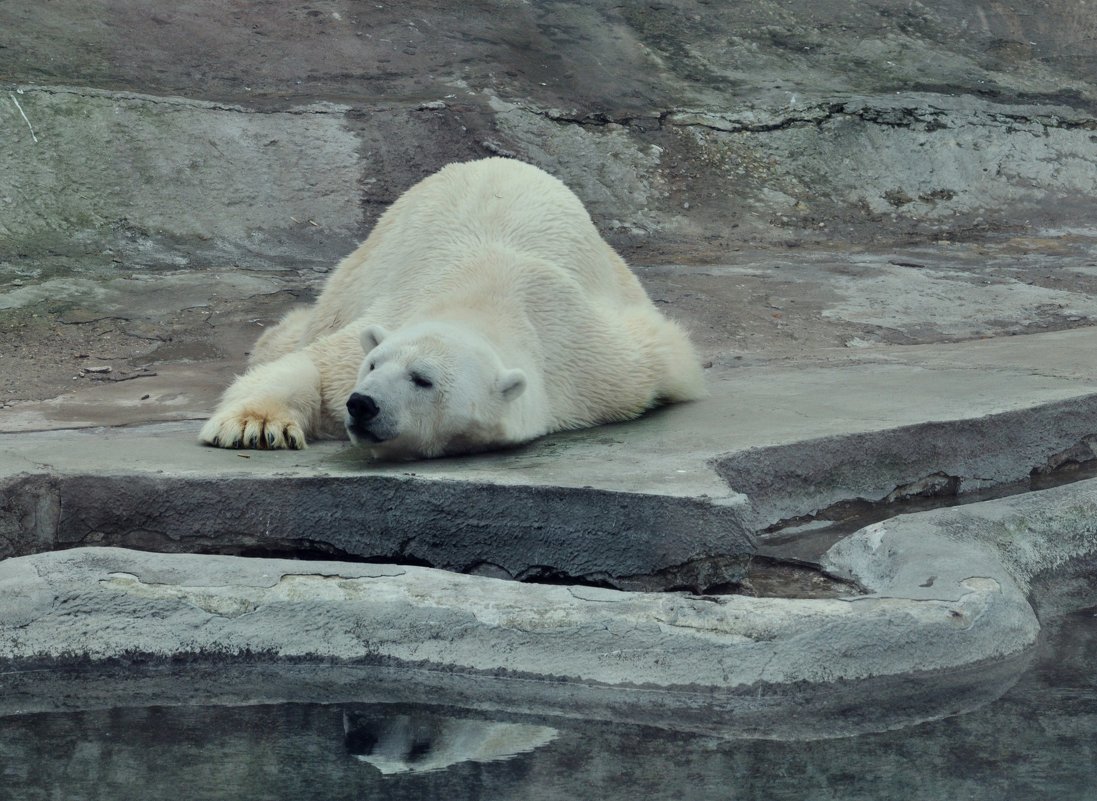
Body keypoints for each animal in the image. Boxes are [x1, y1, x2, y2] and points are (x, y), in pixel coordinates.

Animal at [199, 158, 702, 456]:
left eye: (423, 379)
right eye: (372, 365)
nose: (362, 404)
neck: (486, 298)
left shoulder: (603, 366)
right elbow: (314, 364)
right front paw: (255, 425)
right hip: (361, 266)